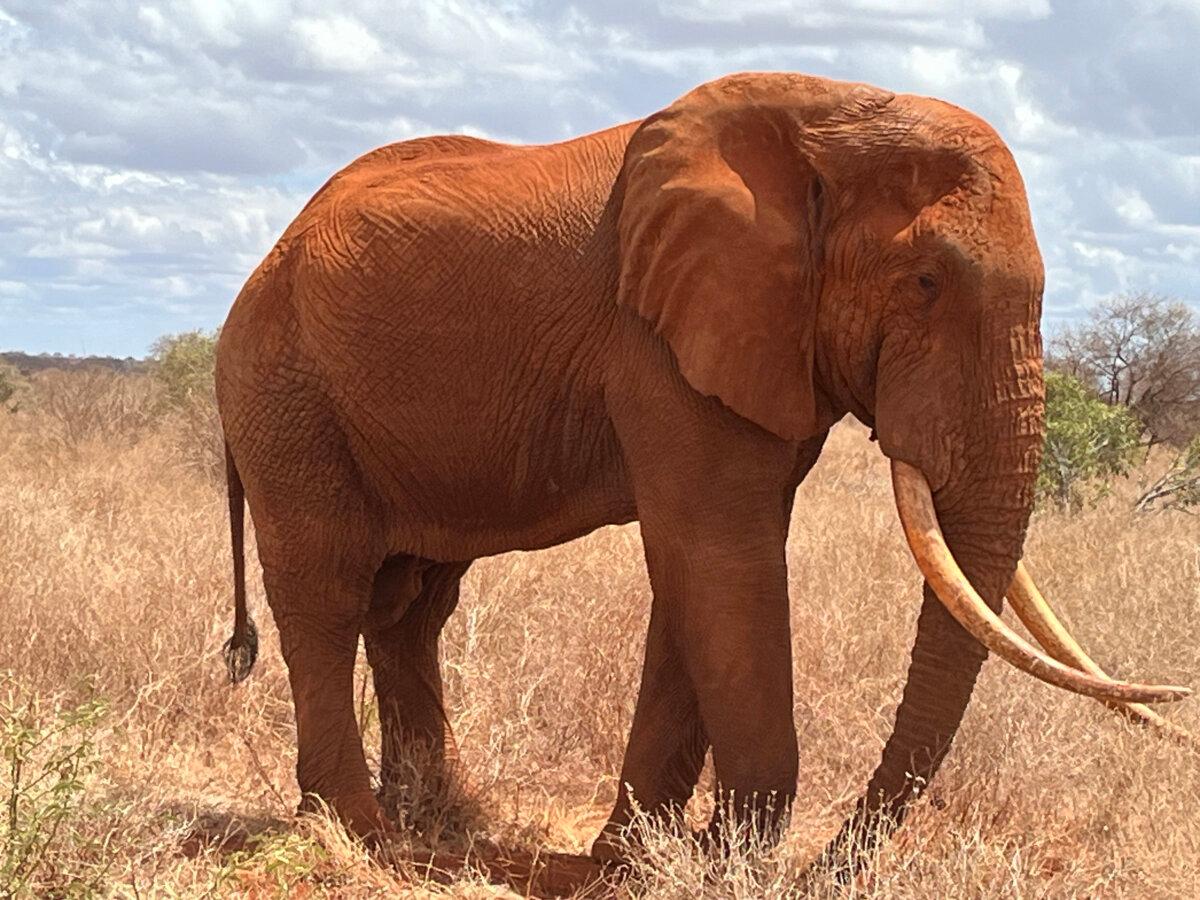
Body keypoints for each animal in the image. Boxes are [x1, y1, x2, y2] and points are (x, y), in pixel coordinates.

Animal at [214, 71, 1190, 869]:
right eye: (924, 284)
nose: (823, 869)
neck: (827, 122)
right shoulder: (660, 342)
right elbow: (718, 558)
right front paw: (725, 862)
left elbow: (698, 578)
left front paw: (632, 862)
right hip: (285, 395)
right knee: (329, 592)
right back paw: (363, 837)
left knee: (413, 604)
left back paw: (440, 820)